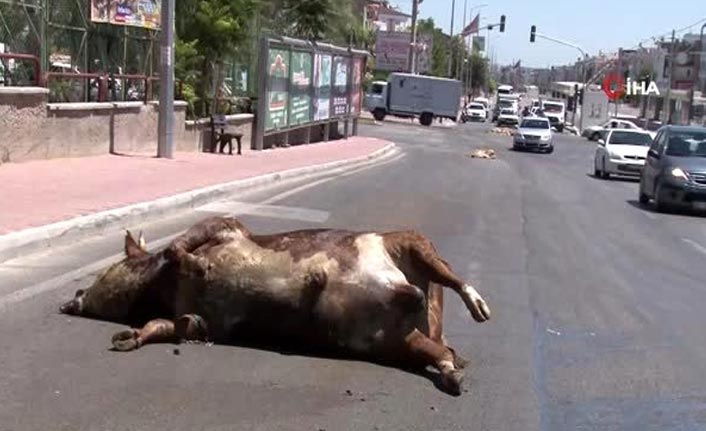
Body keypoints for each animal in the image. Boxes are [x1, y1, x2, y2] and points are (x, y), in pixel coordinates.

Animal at [60, 218, 490, 396]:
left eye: (105, 270)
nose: (72, 296)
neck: (160, 286)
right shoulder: (205, 322)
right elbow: (172, 326)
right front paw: (126, 337)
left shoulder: (226, 226)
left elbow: (179, 245)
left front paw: (197, 264)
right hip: (393, 340)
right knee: (438, 351)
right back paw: (454, 377)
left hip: (408, 241)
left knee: (446, 272)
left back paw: (478, 306)